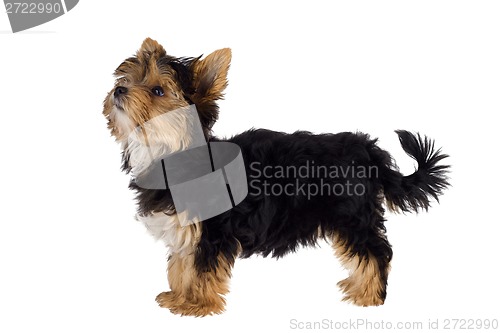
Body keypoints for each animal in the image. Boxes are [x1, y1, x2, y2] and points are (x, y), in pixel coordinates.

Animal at [101, 37, 450, 316]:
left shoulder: (213, 230)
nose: (119, 89)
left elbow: (202, 268)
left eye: (158, 90)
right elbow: (182, 265)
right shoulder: (187, 230)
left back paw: (370, 296)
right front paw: (179, 296)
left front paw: (197, 305)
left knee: (375, 250)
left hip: (351, 213)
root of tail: (367, 151)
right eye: (128, 78)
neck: (172, 152)